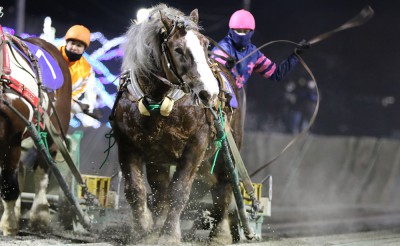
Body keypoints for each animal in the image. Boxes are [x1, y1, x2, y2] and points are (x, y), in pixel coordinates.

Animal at [0, 31, 71, 236]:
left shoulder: (11, 136)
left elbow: (8, 183)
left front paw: (9, 225)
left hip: (52, 133)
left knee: (42, 171)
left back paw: (40, 216)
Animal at [111, 3, 242, 244]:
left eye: (205, 44)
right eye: (179, 49)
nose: (209, 93)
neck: (157, 98)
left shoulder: (196, 144)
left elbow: (179, 191)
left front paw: (169, 235)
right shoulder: (127, 144)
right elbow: (136, 190)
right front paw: (144, 231)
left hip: (226, 151)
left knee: (223, 187)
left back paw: (220, 233)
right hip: (159, 158)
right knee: (160, 190)